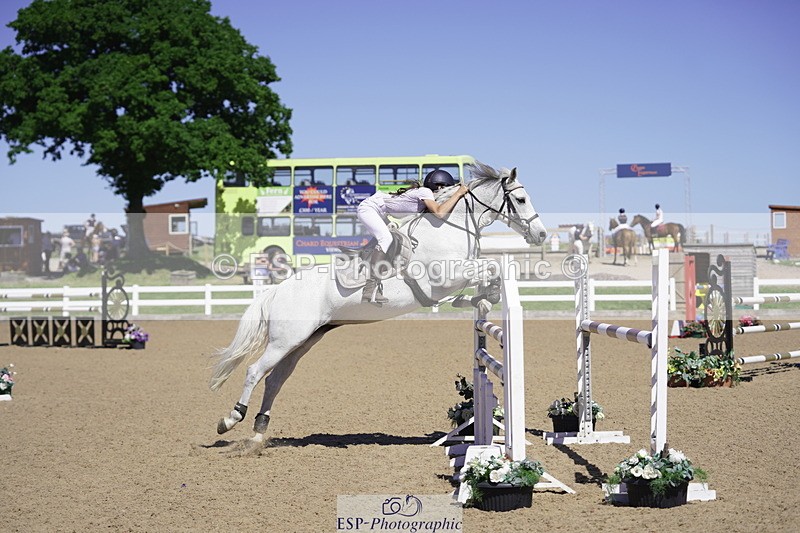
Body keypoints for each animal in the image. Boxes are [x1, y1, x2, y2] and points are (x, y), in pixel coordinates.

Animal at [208, 161, 548, 442]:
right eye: (520, 200)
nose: (542, 235)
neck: (447, 226)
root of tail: (277, 290)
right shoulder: (445, 277)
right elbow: (491, 268)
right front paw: (487, 296)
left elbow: (486, 275)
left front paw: (484, 299)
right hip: (285, 340)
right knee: (255, 372)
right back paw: (230, 419)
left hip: (302, 341)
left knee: (275, 379)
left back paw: (258, 433)